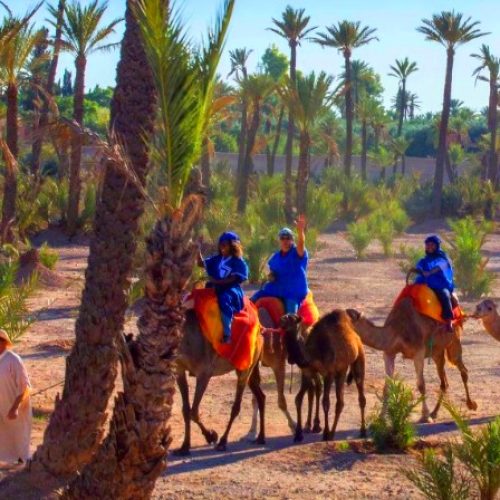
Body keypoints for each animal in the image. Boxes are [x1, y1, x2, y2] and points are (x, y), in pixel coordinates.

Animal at [174, 308, 266, 454]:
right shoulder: (179, 370)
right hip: (250, 367)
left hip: (246, 367)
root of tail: (260, 335)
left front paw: (211, 436)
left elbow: (194, 411)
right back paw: (261, 438)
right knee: (261, 396)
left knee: (237, 406)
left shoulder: (204, 373)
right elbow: (186, 411)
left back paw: (223, 442)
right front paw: (184, 447)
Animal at [245, 306, 320, 440]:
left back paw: (312, 425)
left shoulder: (278, 364)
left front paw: (294, 426)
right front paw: (252, 431)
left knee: (315, 386)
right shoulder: (255, 365)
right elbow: (255, 399)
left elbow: (281, 402)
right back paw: (308, 425)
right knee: (311, 388)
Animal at [280, 310, 366, 444]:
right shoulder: (309, 372)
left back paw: (362, 431)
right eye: (286, 315)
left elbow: (325, 402)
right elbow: (299, 399)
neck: (313, 352)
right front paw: (298, 434)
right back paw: (332, 433)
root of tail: (356, 337)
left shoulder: (328, 373)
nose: (281, 319)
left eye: (291, 318)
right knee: (339, 402)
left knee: (360, 395)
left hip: (359, 358)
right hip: (342, 369)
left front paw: (324, 433)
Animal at [346, 296, 478, 422]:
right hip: (437, 352)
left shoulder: (418, 352)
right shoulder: (389, 353)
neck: (397, 329)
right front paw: (381, 417)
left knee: (462, 370)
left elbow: (421, 385)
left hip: (454, 340)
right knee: (444, 382)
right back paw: (435, 412)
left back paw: (471, 404)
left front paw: (426, 416)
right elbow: (387, 387)